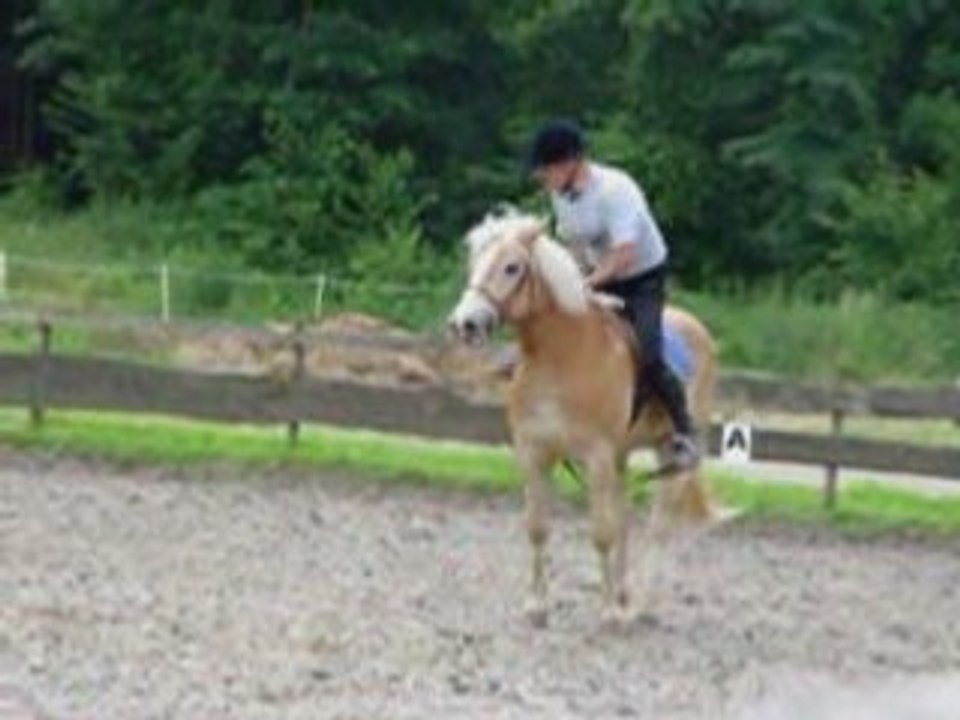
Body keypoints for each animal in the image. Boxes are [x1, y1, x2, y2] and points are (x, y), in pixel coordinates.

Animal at [447, 207, 726, 627]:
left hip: (669, 456)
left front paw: (608, 611)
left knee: (658, 526)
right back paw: (625, 594)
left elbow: (600, 533)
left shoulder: (595, 457)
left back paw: (637, 606)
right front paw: (537, 606)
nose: (465, 324)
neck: (561, 358)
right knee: (625, 517)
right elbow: (538, 528)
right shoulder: (534, 453)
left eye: (512, 267)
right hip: (621, 458)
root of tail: (697, 328)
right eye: (474, 261)